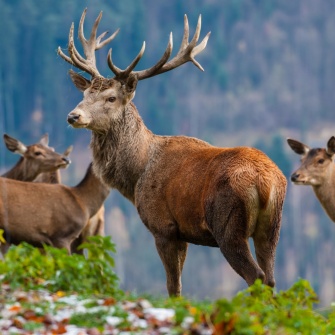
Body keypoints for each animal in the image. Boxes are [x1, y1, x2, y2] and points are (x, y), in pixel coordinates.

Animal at [58, 8, 288, 296]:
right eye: (85, 93)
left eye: (111, 98)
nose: (73, 116)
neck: (137, 174)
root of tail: (266, 183)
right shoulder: (184, 234)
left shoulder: (164, 227)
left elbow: (173, 286)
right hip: (272, 227)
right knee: (271, 277)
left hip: (228, 225)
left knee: (255, 275)